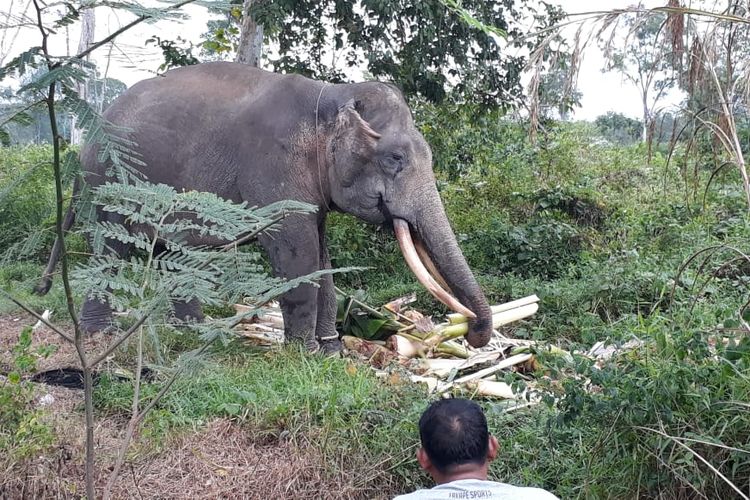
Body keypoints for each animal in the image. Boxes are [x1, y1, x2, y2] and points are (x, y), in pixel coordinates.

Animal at [36, 62, 494, 352]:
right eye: (395, 158)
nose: (470, 332)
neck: (331, 94)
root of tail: (85, 142)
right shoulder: (275, 166)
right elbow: (295, 250)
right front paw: (305, 354)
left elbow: (321, 255)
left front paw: (332, 351)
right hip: (114, 184)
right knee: (114, 251)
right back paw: (100, 335)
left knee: (173, 253)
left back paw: (193, 332)